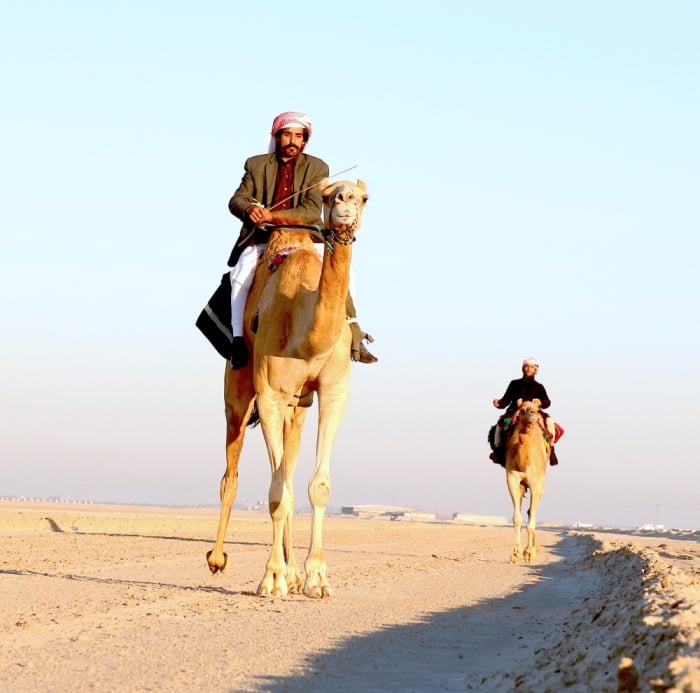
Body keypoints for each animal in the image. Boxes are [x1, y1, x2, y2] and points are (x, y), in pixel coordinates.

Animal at [204, 177, 370, 596]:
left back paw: (294, 573)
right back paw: (218, 559)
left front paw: (316, 578)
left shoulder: (333, 393)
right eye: (328, 195)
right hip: (239, 392)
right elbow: (278, 492)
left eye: (364, 197)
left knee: (289, 472)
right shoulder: (270, 396)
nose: (345, 201)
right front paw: (272, 578)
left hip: (298, 407)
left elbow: (315, 486)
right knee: (232, 475)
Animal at [504, 400, 552, 564]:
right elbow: (517, 518)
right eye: (522, 410)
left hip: (542, 485)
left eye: (536, 409)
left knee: (532, 512)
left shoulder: (536, 484)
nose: (532, 413)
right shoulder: (512, 479)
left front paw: (529, 553)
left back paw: (533, 550)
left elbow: (531, 521)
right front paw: (515, 553)